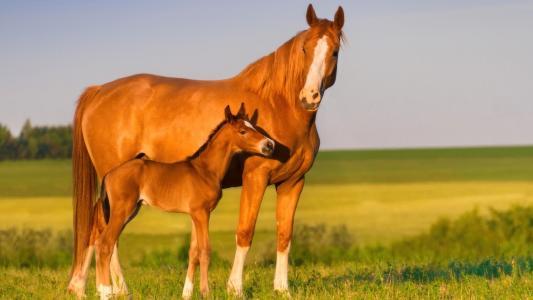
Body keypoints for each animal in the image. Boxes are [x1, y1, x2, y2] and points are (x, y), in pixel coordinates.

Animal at [89, 105, 274, 298]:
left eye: (254, 126)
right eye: (243, 131)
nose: (269, 145)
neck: (205, 170)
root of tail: (109, 174)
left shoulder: (196, 215)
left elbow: (194, 251)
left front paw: (187, 294)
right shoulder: (202, 213)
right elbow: (205, 251)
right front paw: (206, 293)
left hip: (129, 212)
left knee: (103, 244)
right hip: (121, 211)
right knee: (104, 244)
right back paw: (106, 293)